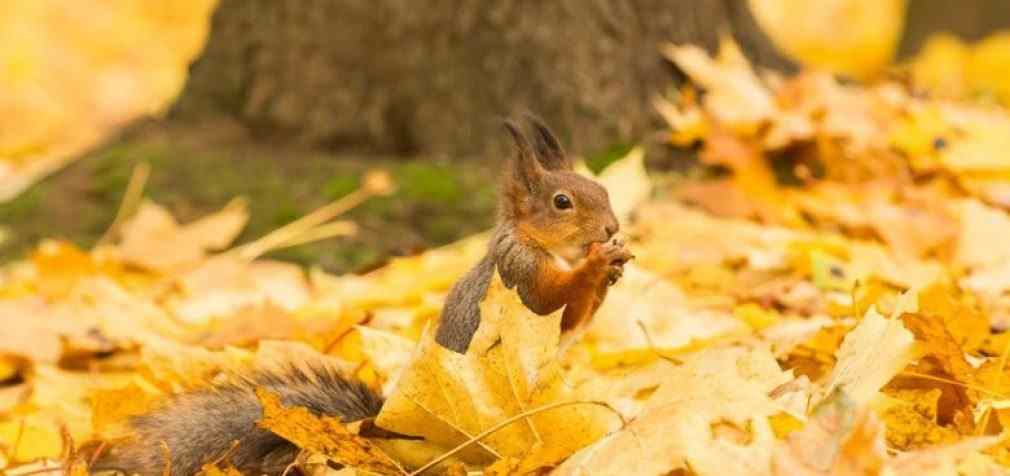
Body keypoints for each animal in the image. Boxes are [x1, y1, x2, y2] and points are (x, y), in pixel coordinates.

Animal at [90, 116, 634, 476]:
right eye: (562, 203)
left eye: (602, 188)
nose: (612, 226)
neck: (540, 245)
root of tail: (391, 429)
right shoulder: (517, 279)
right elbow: (554, 302)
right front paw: (596, 265)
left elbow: (577, 318)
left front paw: (613, 267)